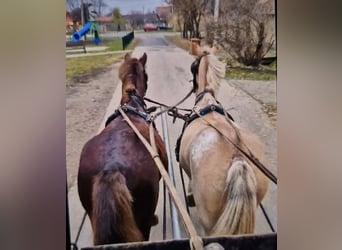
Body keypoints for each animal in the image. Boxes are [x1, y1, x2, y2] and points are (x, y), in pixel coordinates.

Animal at [178, 44, 268, 236]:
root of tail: (238, 159)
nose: (193, 87)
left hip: (208, 223)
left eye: (193, 66)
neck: (206, 103)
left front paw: (190, 195)